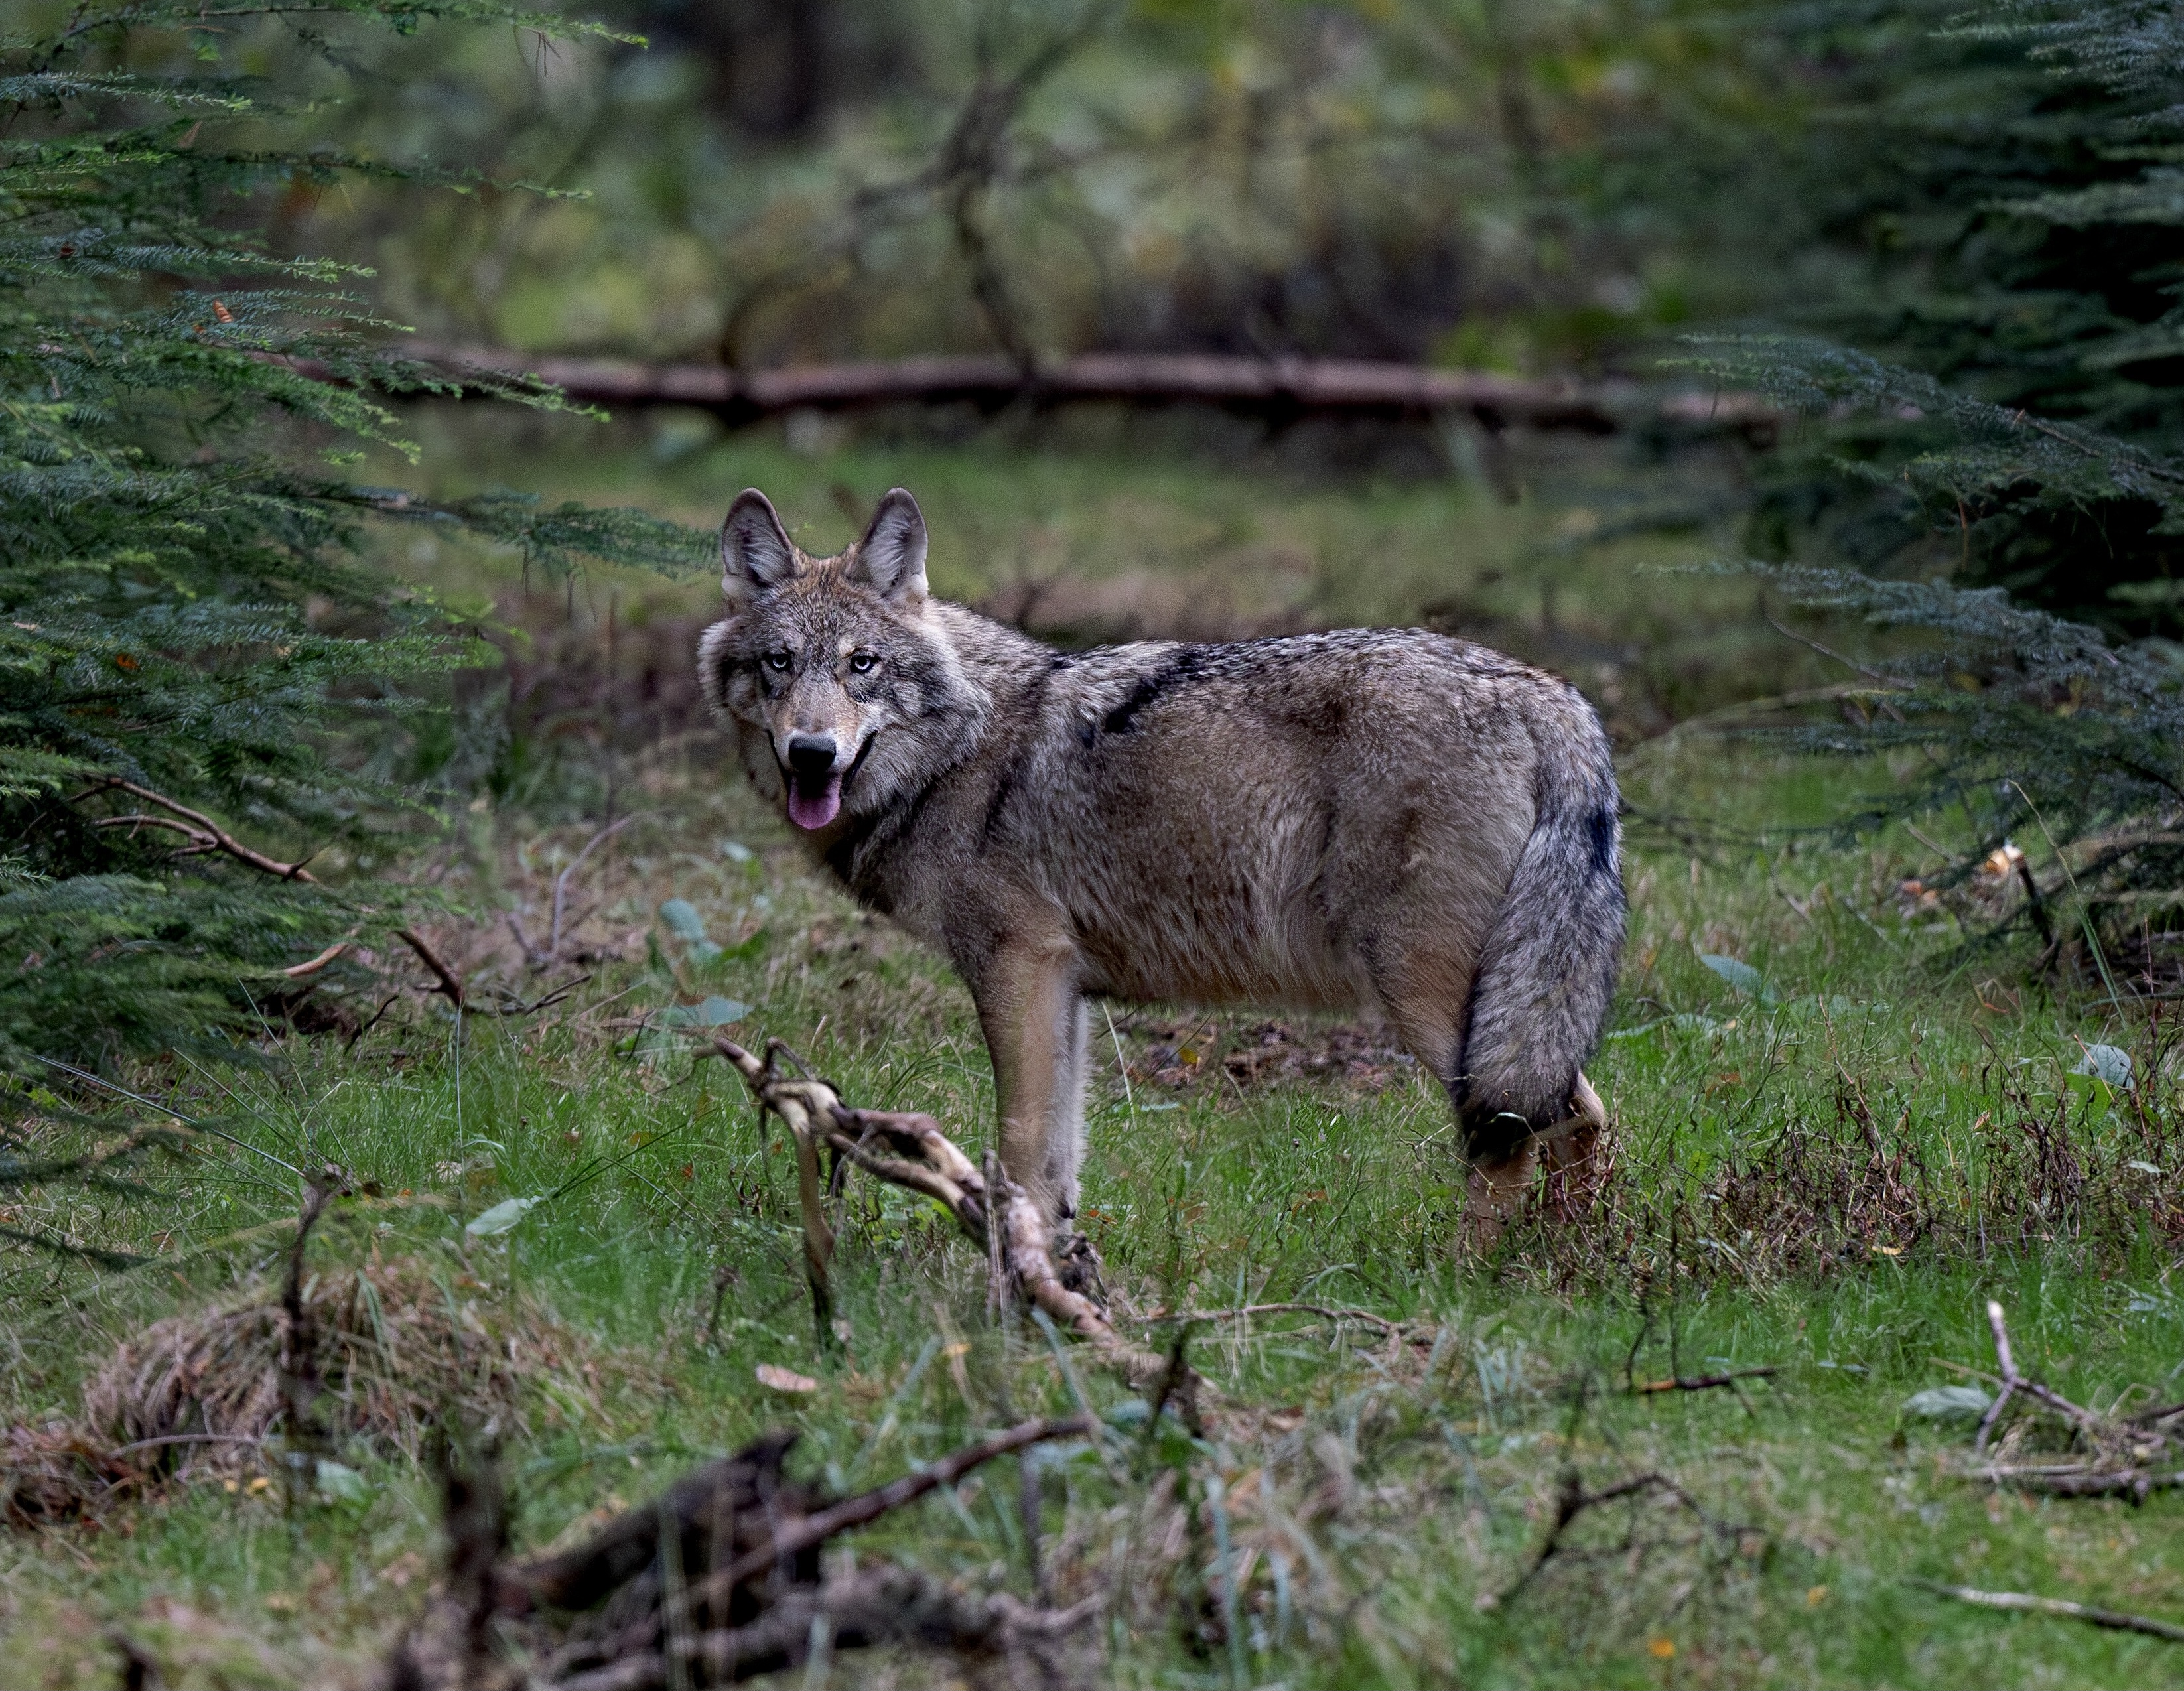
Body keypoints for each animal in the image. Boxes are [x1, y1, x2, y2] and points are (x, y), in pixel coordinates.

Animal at [697, 486, 1624, 1246]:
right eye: (780, 662)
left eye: (862, 664)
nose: (811, 754)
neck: (960, 750)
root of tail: (1546, 691)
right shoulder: (1062, 987)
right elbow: (1056, 1160)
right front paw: (1062, 1270)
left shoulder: (1017, 966)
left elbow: (1018, 1144)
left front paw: (1013, 1278)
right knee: (1582, 1115)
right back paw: (1571, 1263)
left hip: (1430, 997)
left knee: (1515, 1134)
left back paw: (1467, 1279)